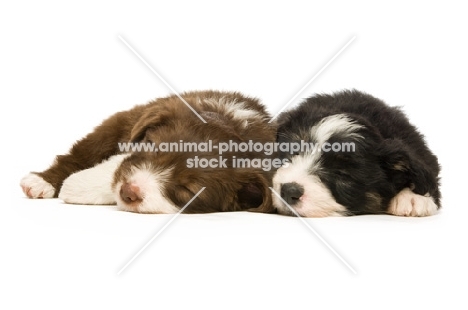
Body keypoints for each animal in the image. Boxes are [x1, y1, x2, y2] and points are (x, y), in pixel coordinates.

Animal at [21, 91, 278, 214]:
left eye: (187, 190)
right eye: (152, 147)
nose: (128, 192)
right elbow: (114, 164)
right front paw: (77, 185)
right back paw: (41, 182)